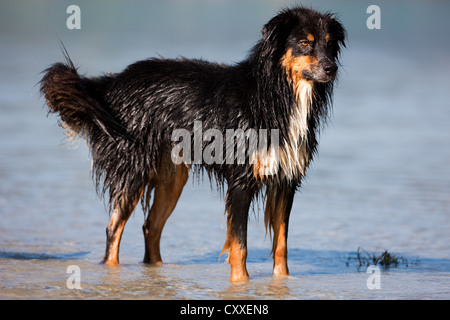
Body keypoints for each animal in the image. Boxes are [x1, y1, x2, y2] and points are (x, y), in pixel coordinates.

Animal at [40, 6, 346, 282]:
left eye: (329, 44)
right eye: (304, 43)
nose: (331, 68)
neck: (274, 96)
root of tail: (113, 83)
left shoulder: (286, 180)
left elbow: (281, 245)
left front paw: (283, 281)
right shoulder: (241, 180)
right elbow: (240, 245)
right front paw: (240, 283)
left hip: (172, 178)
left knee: (150, 226)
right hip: (134, 169)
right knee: (114, 229)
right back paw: (113, 273)